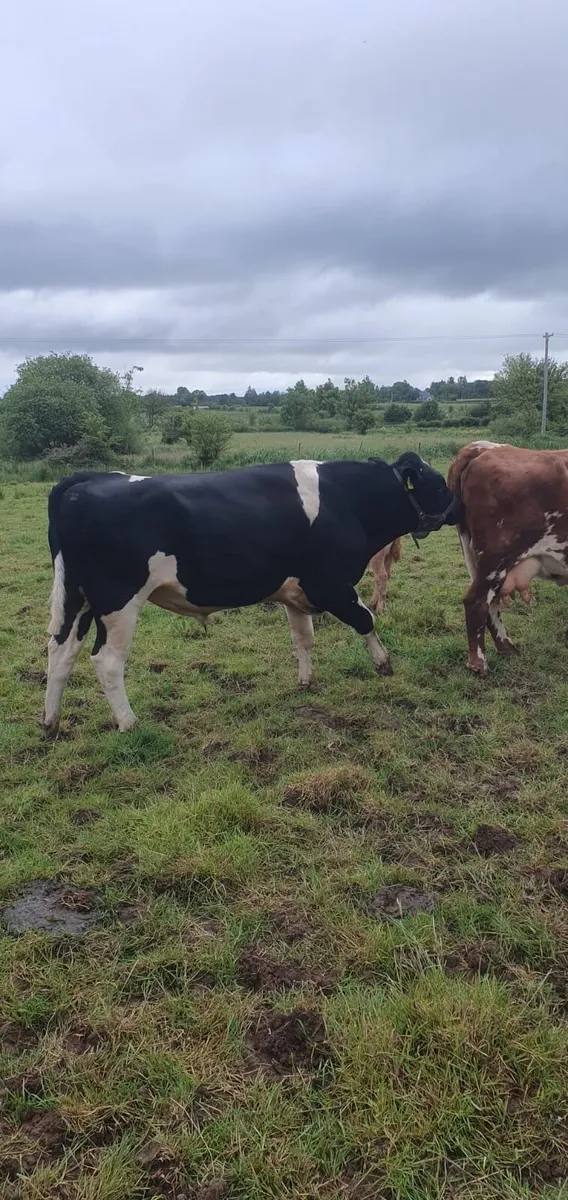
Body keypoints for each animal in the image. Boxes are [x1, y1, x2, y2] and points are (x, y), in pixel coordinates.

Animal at [42, 453, 462, 733]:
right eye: (441, 485)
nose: (461, 508)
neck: (347, 500)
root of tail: (86, 481)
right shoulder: (329, 584)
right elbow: (365, 619)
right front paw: (383, 664)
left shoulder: (296, 592)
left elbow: (303, 638)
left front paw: (306, 681)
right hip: (118, 601)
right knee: (107, 661)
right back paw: (129, 722)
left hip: (78, 599)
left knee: (60, 651)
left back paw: (50, 722)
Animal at [448, 440, 568, 675]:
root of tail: (483, 447)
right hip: (496, 558)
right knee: (476, 601)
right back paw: (479, 663)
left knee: (490, 602)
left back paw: (506, 647)